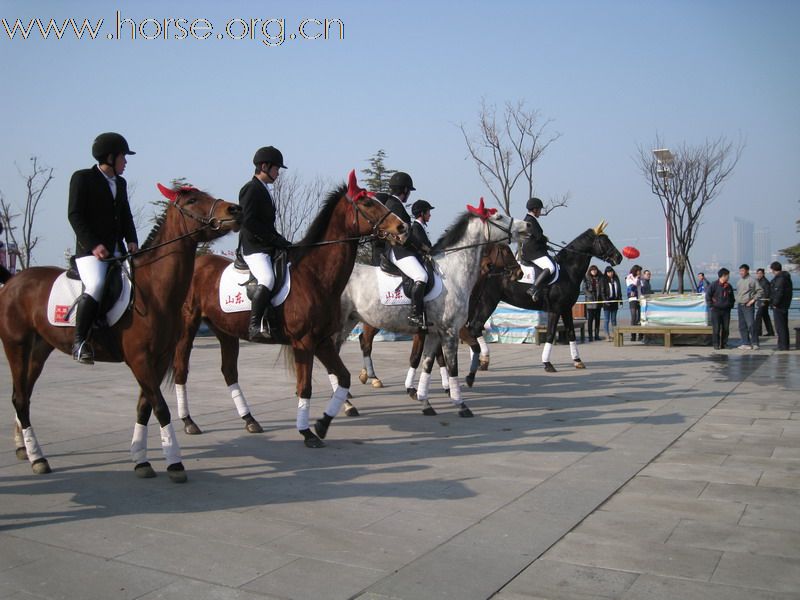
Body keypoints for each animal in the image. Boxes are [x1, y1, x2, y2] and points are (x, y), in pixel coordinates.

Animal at [0, 185, 242, 480]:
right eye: (193, 200)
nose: (235, 210)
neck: (153, 290)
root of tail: (12, 281)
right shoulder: (140, 360)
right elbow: (160, 408)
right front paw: (174, 464)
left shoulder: (158, 360)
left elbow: (144, 408)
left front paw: (141, 460)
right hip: (16, 347)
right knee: (19, 398)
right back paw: (38, 458)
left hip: (39, 350)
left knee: (25, 395)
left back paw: (25, 449)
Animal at [170, 171, 406, 448]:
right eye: (367, 203)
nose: (402, 227)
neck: (315, 275)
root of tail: (197, 262)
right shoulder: (304, 342)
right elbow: (305, 388)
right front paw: (307, 433)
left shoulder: (321, 340)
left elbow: (343, 377)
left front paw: (323, 423)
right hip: (188, 326)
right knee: (181, 370)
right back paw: (189, 422)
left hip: (225, 331)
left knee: (229, 372)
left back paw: (249, 420)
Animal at [460, 220, 620, 378]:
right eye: (604, 241)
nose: (619, 257)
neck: (568, 271)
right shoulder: (555, 309)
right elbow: (550, 334)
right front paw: (548, 364)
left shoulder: (566, 308)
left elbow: (571, 333)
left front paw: (578, 361)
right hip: (488, 302)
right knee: (475, 326)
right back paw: (482, 360)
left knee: (473, 327)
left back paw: (479, 361)